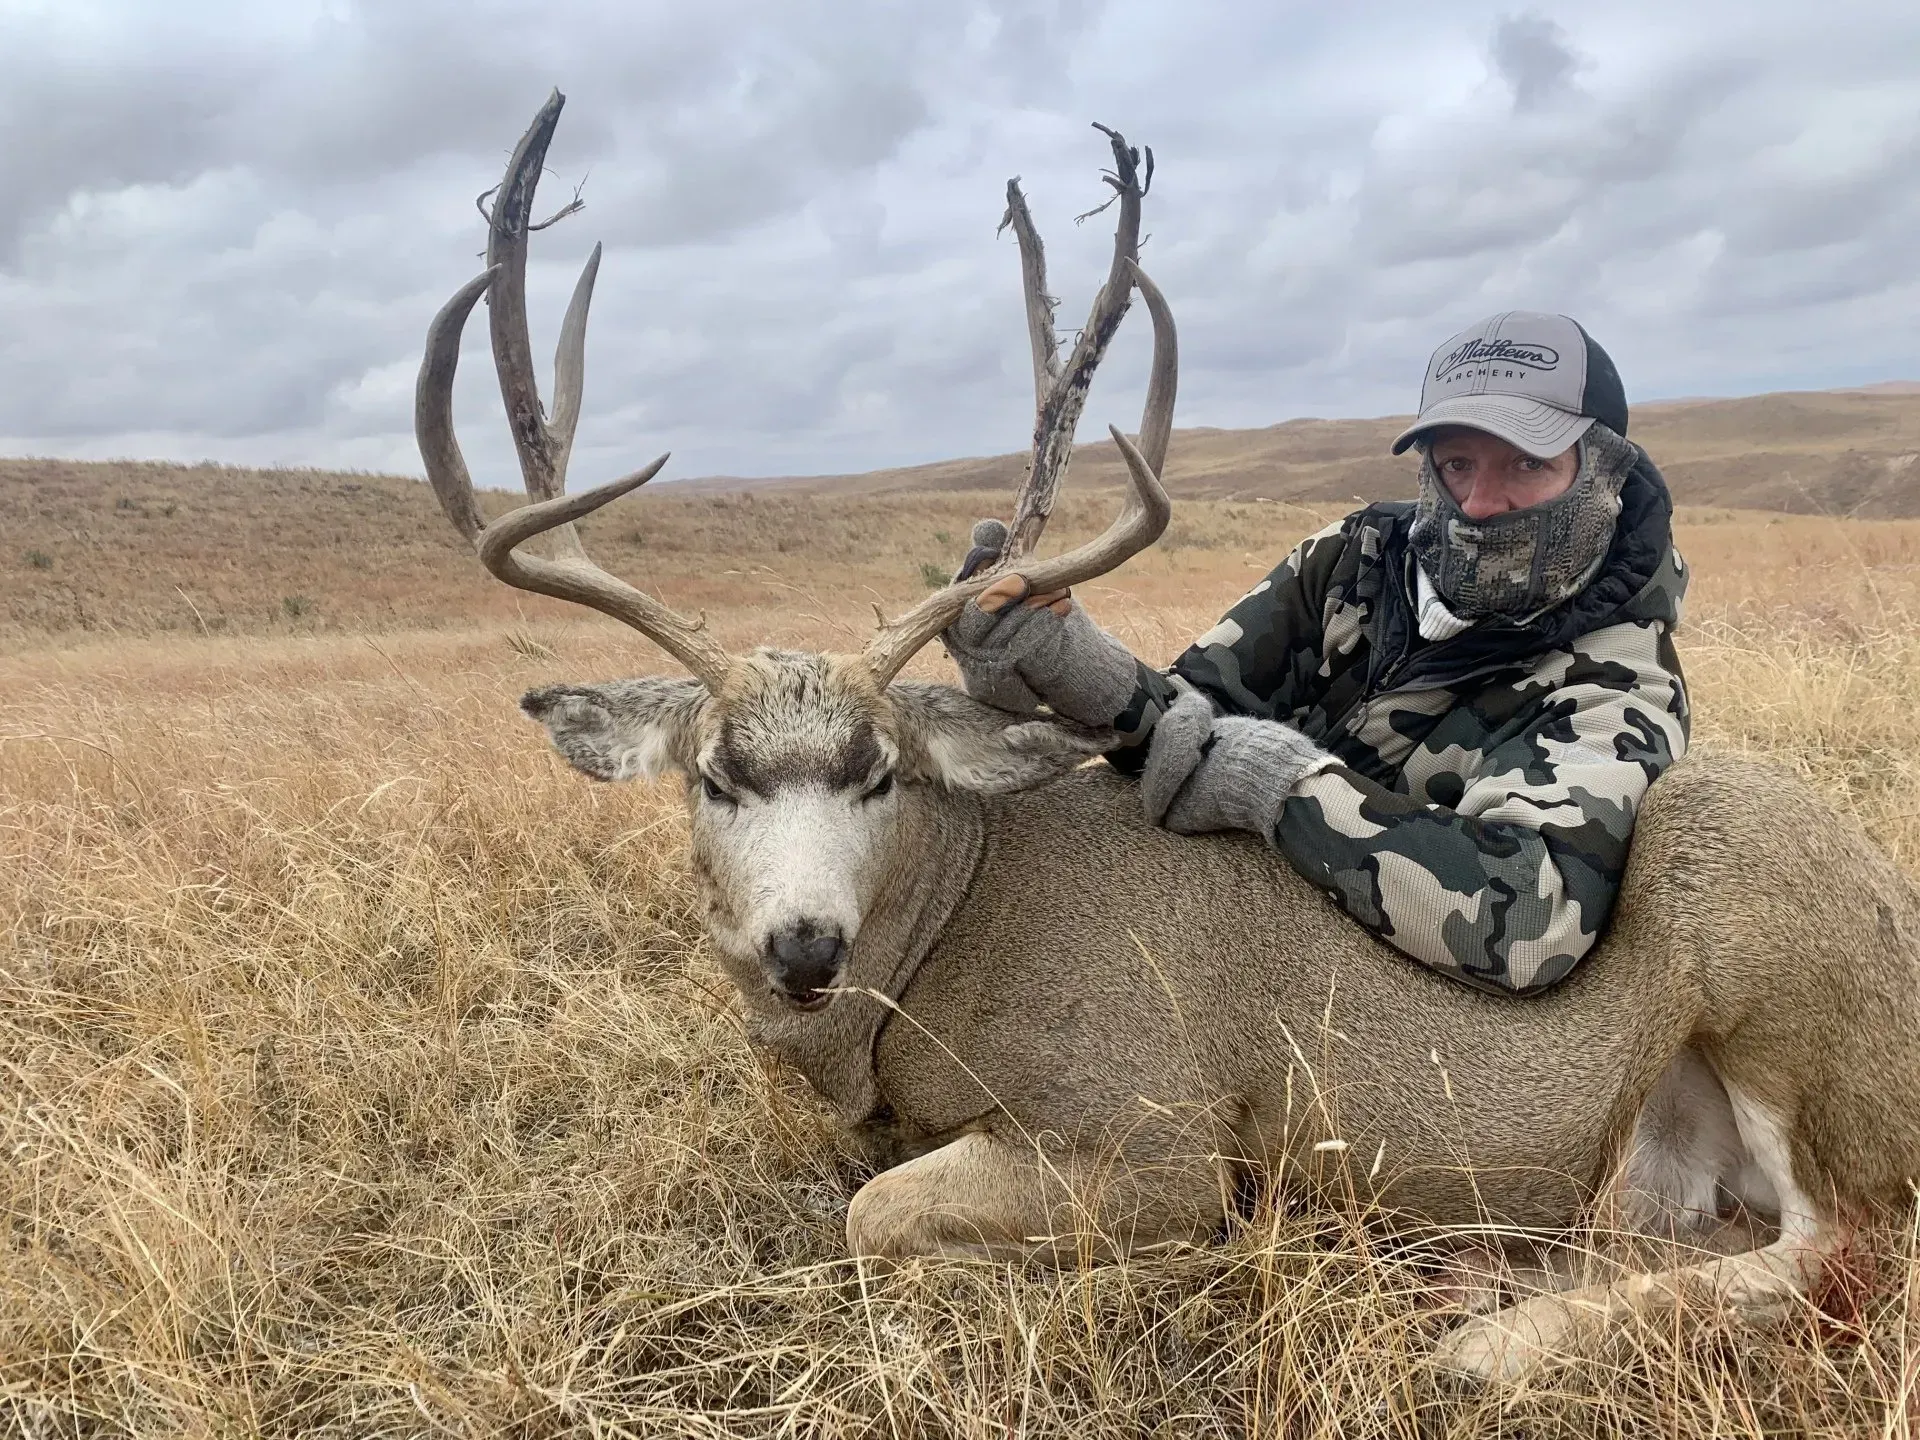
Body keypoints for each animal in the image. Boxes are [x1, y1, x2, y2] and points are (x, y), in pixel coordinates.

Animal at [414, 91, 1920, 1385]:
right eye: (718, 777)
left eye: (880, 772)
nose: (802, 949)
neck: (943, 952)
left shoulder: (1153, 1132)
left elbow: (874, 1216)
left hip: (1767, 947)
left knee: (1843, 1241)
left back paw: (1494, 1343)